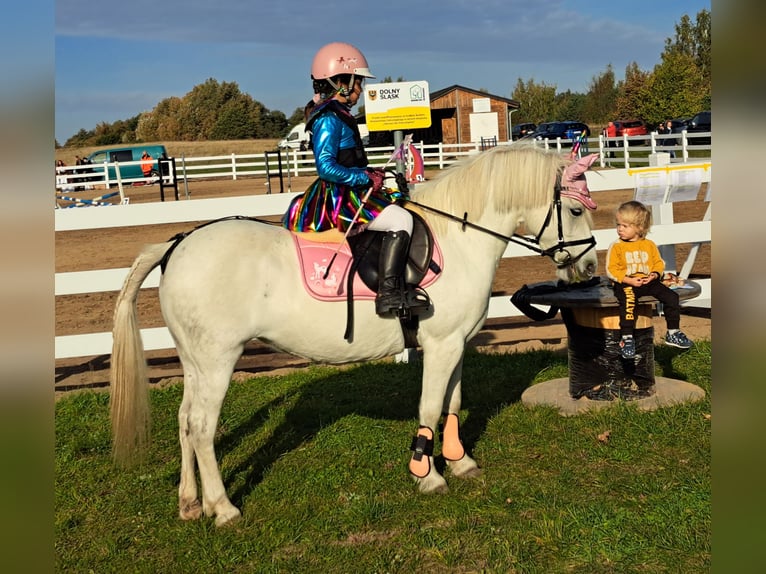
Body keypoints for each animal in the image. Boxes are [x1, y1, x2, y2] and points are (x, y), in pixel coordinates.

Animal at [111, 147, 600, 528]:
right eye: (575, 210)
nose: (590, 267)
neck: (459, 240)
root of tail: (177, 244)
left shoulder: (457, 344)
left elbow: (454, 403)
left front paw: (460, 461)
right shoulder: (440, 345)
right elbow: (429, 406)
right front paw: (427, 473)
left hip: (195, 362)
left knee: (183, 422)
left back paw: (190, 503)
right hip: (217, 360)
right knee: (201, 427)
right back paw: (223, 507)